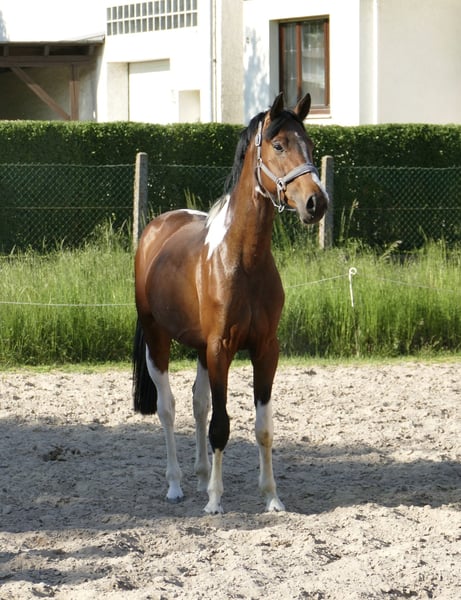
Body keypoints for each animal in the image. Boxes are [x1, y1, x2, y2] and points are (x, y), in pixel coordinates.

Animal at [132, 92, 328, 514]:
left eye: (310, 145)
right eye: (278, 145)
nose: (315, 203)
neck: (242, 259)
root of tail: (156, 228)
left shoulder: (265, 349)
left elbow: (262, 427)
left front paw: (271, 497)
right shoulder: (221, 348)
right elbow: (221, 426)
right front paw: (215, 503)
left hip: (200, 349)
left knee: (198, 403)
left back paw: (202, 475)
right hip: (158, 340)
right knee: (169, 408)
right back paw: (176, 485)